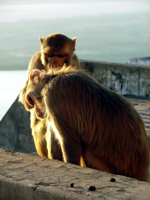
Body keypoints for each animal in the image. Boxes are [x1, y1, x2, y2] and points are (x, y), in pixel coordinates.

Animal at [19, 32, 79, 160]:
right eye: (50, 55)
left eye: (60, 55)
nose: (54, 63)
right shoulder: (36, 59)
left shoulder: (75, 61)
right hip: (39, 142)